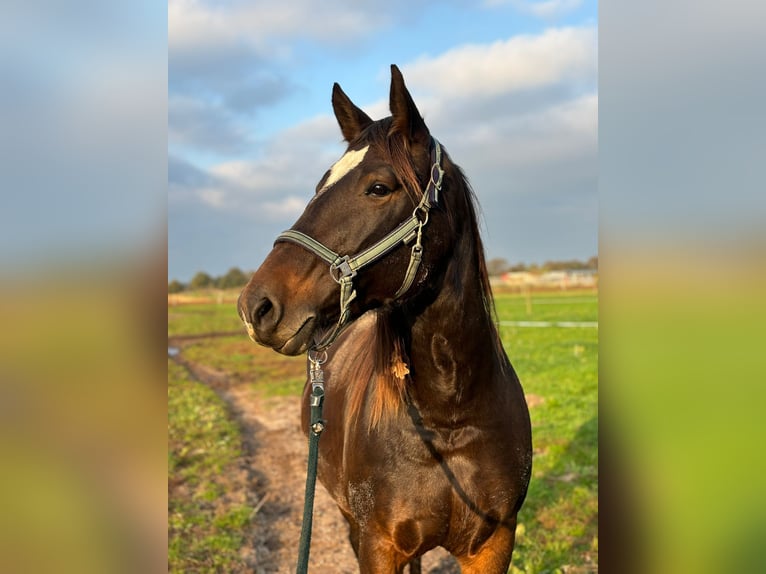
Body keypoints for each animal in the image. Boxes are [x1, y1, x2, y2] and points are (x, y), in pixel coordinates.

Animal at [240, 65, 536, 572]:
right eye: (319, 187)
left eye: (379, 187)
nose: (256, 306)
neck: (450, 418)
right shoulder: (378, 545)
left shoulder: (494, 543)